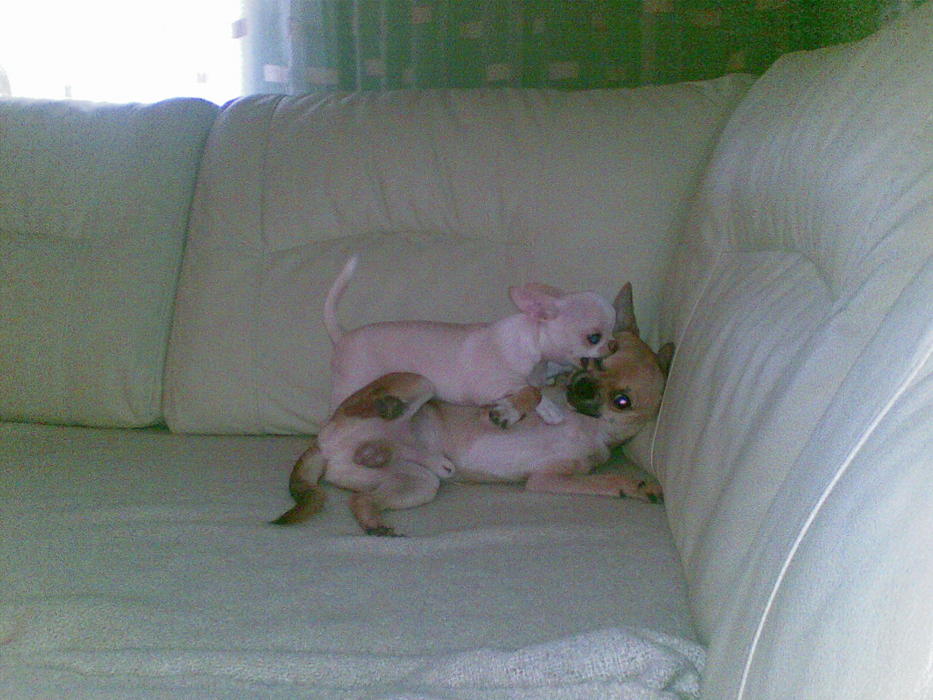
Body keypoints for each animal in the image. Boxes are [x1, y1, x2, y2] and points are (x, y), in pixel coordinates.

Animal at [273, 282, 674, 536]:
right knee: (374, 406)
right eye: (596, 364)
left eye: (622, 401)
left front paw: (637, 485)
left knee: (361, 498)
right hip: (417, 383)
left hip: (417, 483)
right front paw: (516, 409)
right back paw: (386, 408)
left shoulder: (553, 477)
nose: (582, 385)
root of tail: (322, 445)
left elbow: (602, 479)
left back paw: (379, 500)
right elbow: (532, 394)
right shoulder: (542, 471)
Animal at [324, 255, 618, 428]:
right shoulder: (491, 386)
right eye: (594, 337)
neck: (533, 348)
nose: (614, 345)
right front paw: (546, 408)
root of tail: (343, 335)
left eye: (614, 330)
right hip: (352, 386)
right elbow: (530, 391)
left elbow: (536, 386)